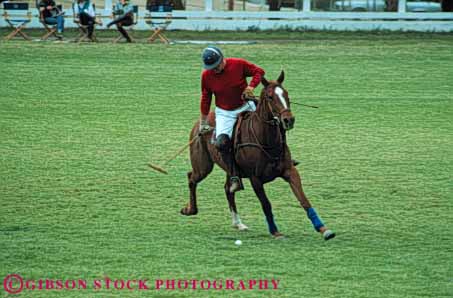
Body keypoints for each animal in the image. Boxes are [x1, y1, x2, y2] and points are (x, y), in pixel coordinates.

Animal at [182, 71, 334, 241]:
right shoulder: (255, 178)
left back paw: (238, 223)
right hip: (203, 166)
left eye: (286, 94)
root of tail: (199, 123)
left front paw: (323, 229)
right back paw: (189, 210)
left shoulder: (290, 171)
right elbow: (266, 204)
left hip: (228, 170)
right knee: (191, 177)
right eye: (270, 97)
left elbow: (304, 199)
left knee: (228, 188)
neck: (266, 140)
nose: (289, 120)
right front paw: (275, 231)